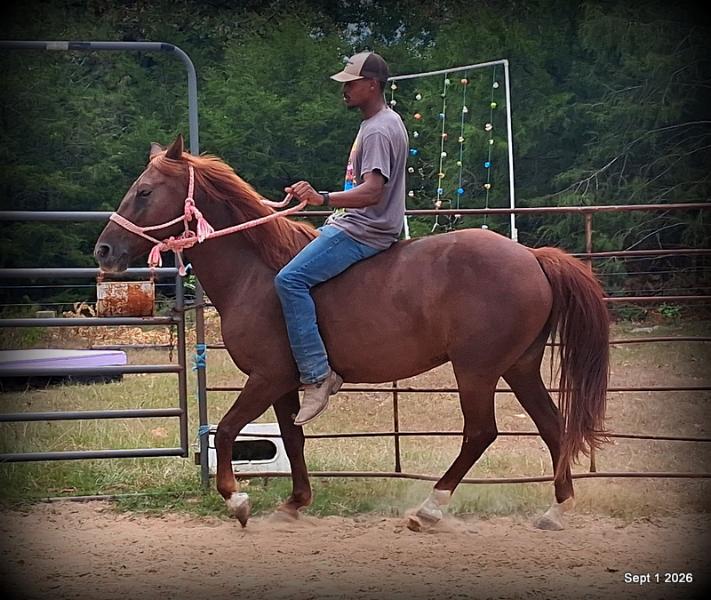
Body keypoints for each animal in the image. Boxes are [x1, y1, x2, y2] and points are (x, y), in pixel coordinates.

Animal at [94, 134, 610, 531]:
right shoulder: (285, 384)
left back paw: (429, 509)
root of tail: (533, 258)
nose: (104, 250)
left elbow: (226, 430)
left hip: (477, 370)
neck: (257, 272)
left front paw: (237, 500)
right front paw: (294, 503)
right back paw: (556, 510)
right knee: (552, 425)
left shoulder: (266, 377)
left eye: (144, 191)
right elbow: (293, 438)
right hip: (519, 367)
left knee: (481, 433)